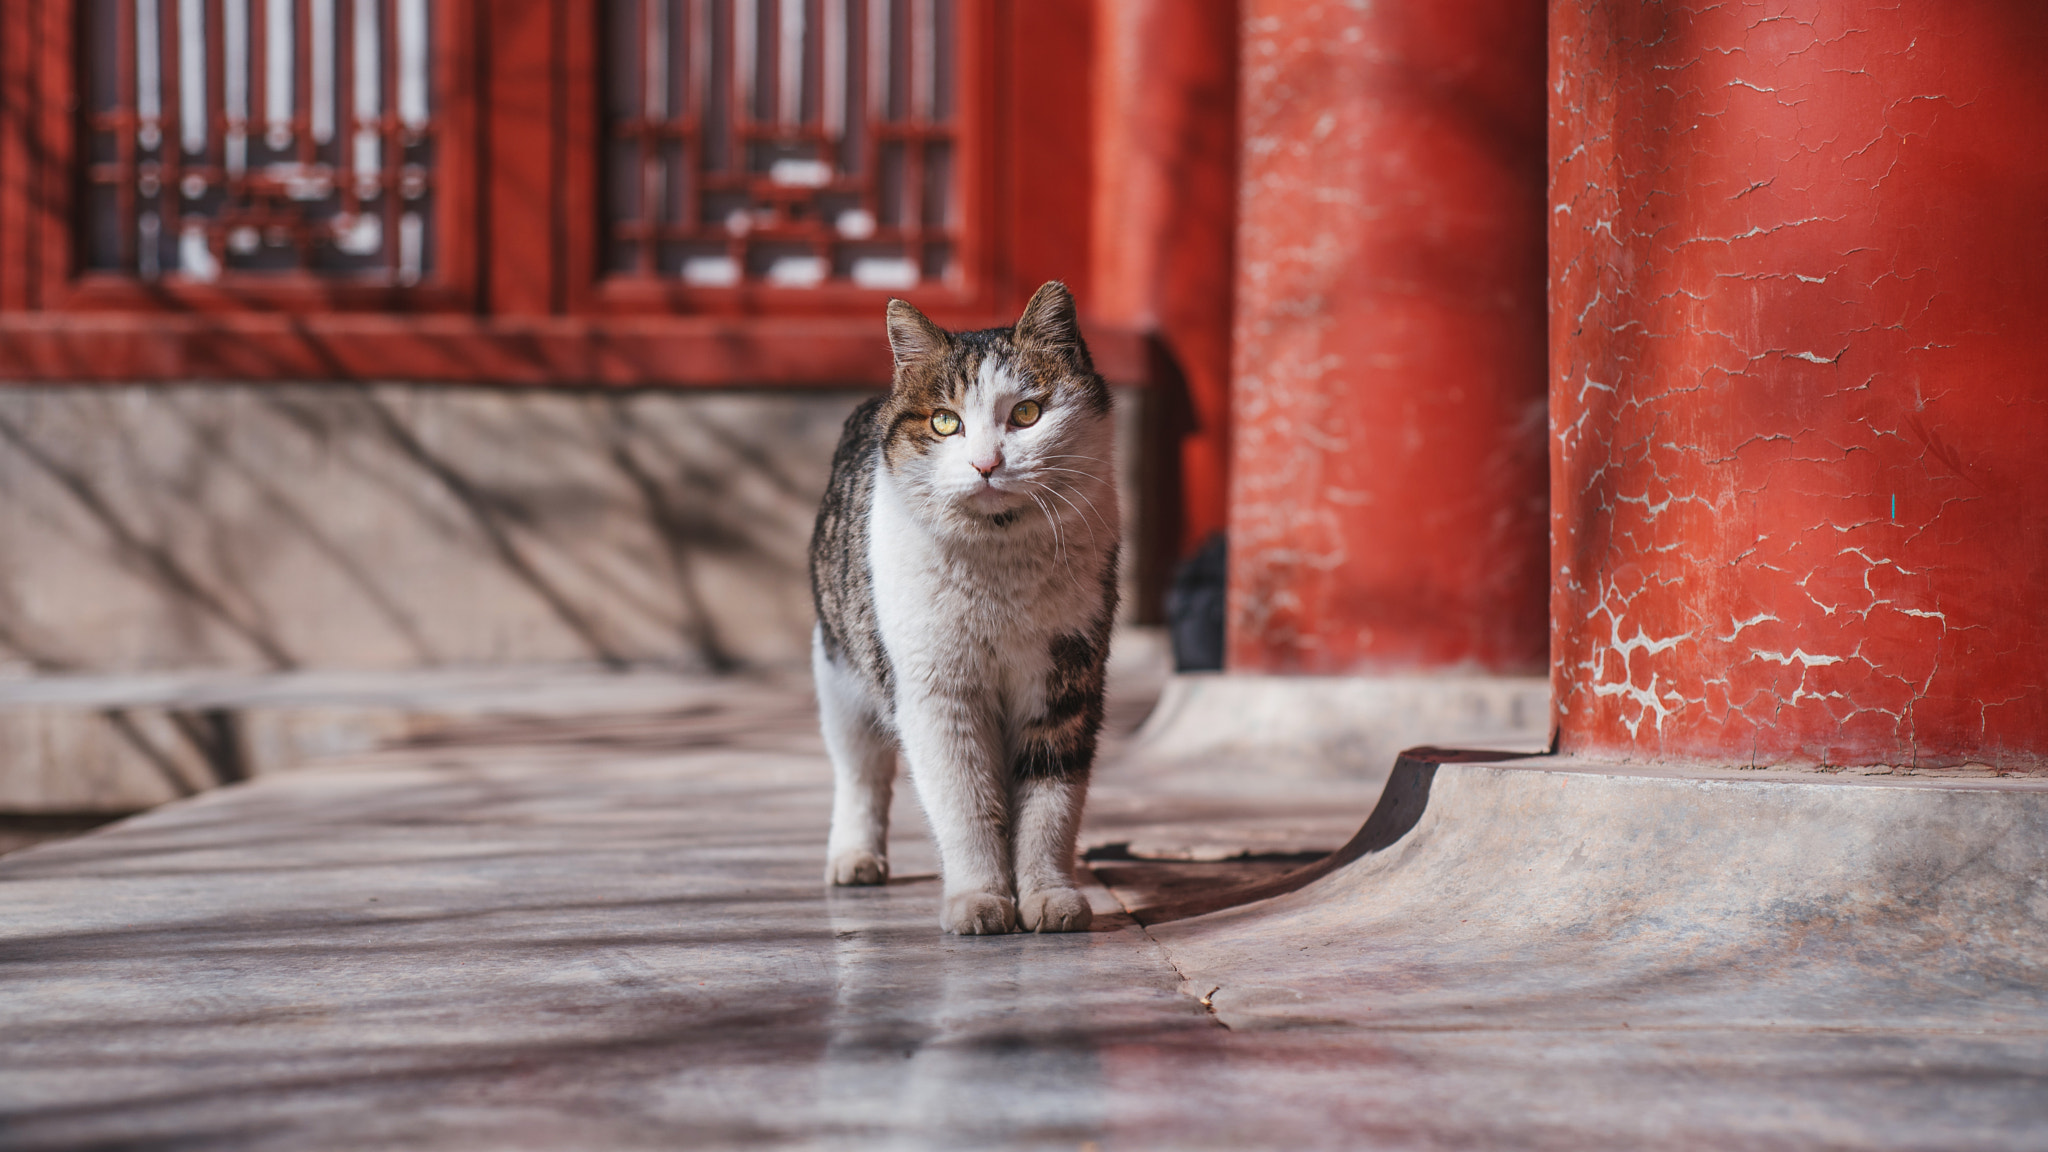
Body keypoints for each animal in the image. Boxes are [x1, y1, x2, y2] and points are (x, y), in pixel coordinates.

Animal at [806, 280, 1122, 934]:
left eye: (1026, 413)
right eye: (945, 422)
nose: (986, 464)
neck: (1000, 571)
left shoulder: (1066, 679)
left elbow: (1050, 803)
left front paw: (1048, 898)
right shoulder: (935, 691)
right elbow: (965, 803)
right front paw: (979, 900)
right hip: (840, 673)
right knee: (860, 771)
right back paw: (855, 859)